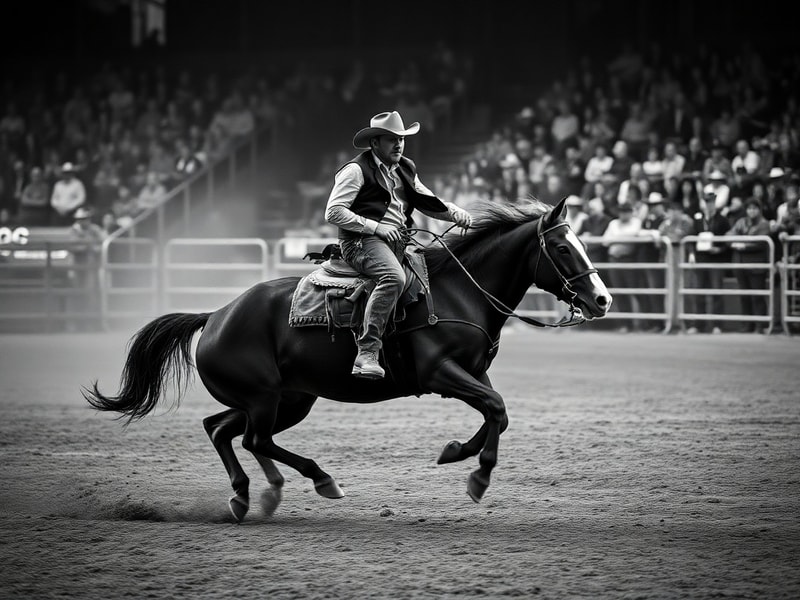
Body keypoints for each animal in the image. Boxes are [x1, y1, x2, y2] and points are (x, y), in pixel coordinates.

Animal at [84, 196, 612, 521]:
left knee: (223, 430)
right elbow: (496, 408)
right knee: (252, 437)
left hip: (287, 400)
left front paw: (455, 452)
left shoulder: (474, 373)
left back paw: (253, 495)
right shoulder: (441, 373)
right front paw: (477, 476)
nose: (602, 300)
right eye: (562, 247)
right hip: (265, 398)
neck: (457, 291)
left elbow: (495, 413)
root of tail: (215, 316)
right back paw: (317, 480)